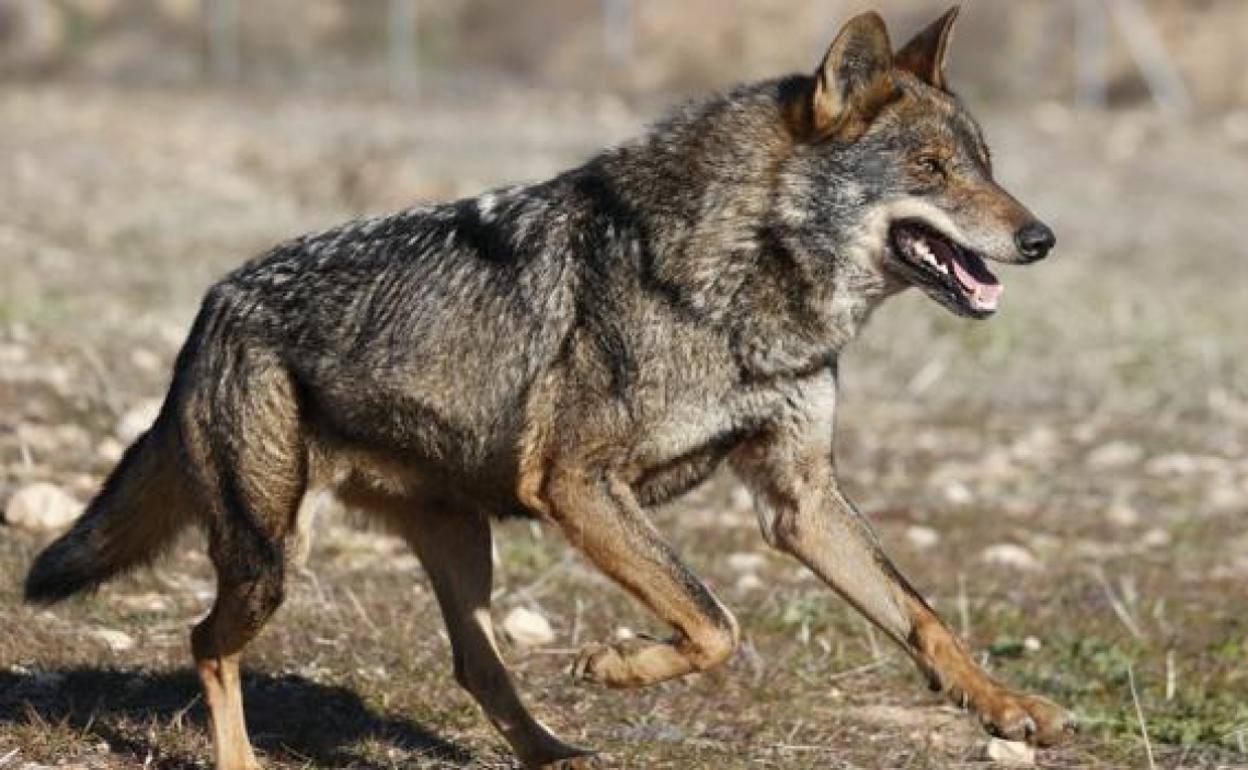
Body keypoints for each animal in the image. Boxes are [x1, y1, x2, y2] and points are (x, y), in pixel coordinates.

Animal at [24, 7, 1073, 768]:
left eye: (987, 166)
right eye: (932, 169)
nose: (1041, 239)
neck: (745, 286)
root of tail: (213, 302)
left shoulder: (799, 500)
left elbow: (921, 616)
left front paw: (1008, 706)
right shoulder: (577, 484)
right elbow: (715, 621)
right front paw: (617, 664)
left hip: (460, 550)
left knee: (475, 670)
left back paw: (557, 753)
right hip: (271, 560)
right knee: (205, 642)